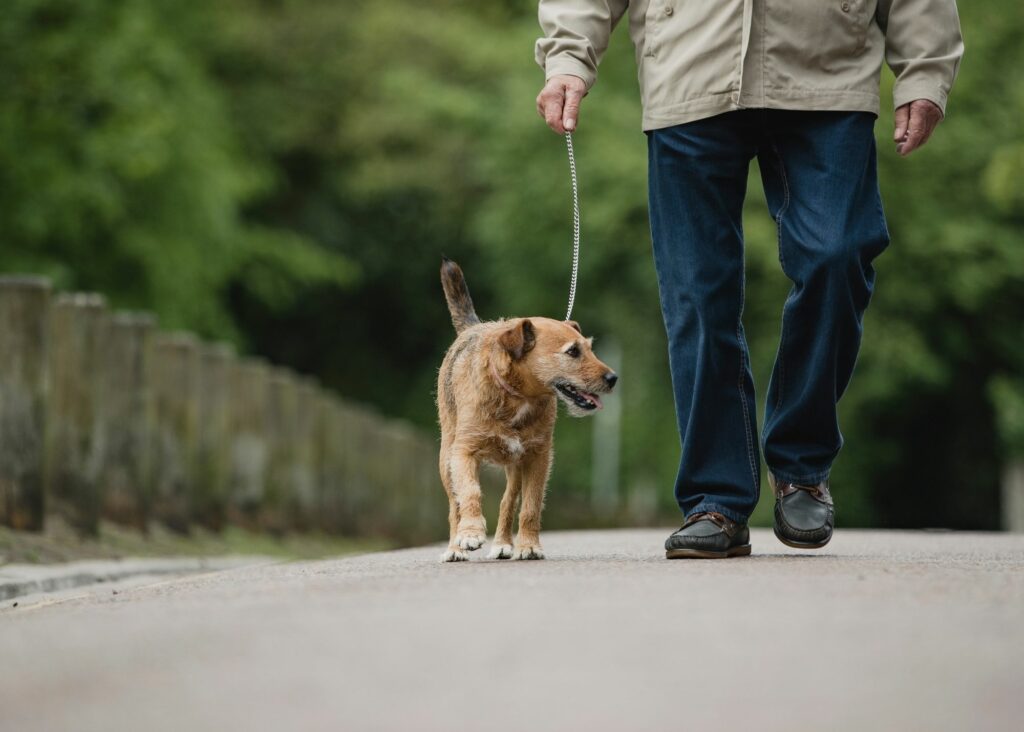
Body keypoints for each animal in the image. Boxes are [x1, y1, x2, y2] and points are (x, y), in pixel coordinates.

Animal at [434, 257, 614, 561]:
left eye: (589, 348)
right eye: (573, 352)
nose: (613, 378)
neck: (516, 396)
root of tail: (472, 329)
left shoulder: (538, 457)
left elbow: (530, 505)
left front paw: (529, 545)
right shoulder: (463, 453)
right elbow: (469, 493)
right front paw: (470, 533)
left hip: (516, 466)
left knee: (508, 500)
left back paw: (503, 543)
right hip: (446, 457)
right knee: (452, 505)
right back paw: (454, 547)